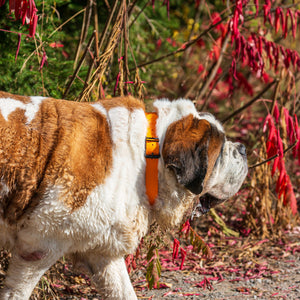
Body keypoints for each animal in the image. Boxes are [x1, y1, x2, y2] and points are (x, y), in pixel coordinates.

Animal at [0, 92, 247, 300]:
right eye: (222, 150)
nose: (243, 148)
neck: (148, 155)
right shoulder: (39, 246)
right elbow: (17, 291)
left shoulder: (102, 249)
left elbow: (123, 290)